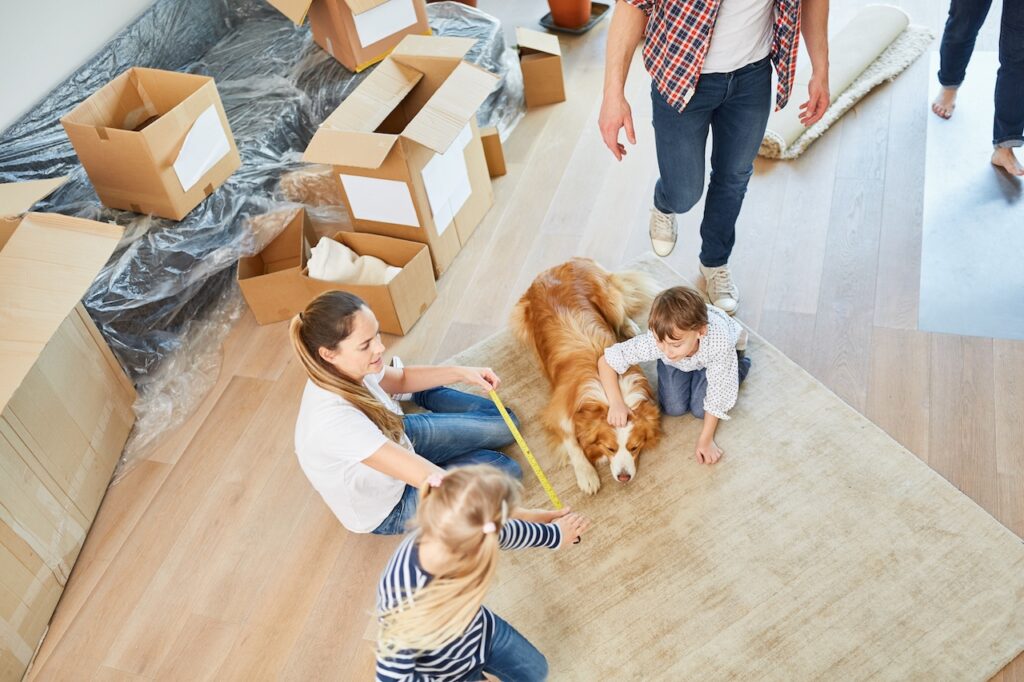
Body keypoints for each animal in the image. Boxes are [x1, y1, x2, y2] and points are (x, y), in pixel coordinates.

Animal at [512, 258, 663, 491]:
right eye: (609, 448)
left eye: (635, 447)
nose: (624, 477)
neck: (612, 393)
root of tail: (556, 266)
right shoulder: (557, 411)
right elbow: (571, 441)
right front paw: (587, 475)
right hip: (522, 323)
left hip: (610, 299)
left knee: (620, 311)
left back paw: (629, 326)